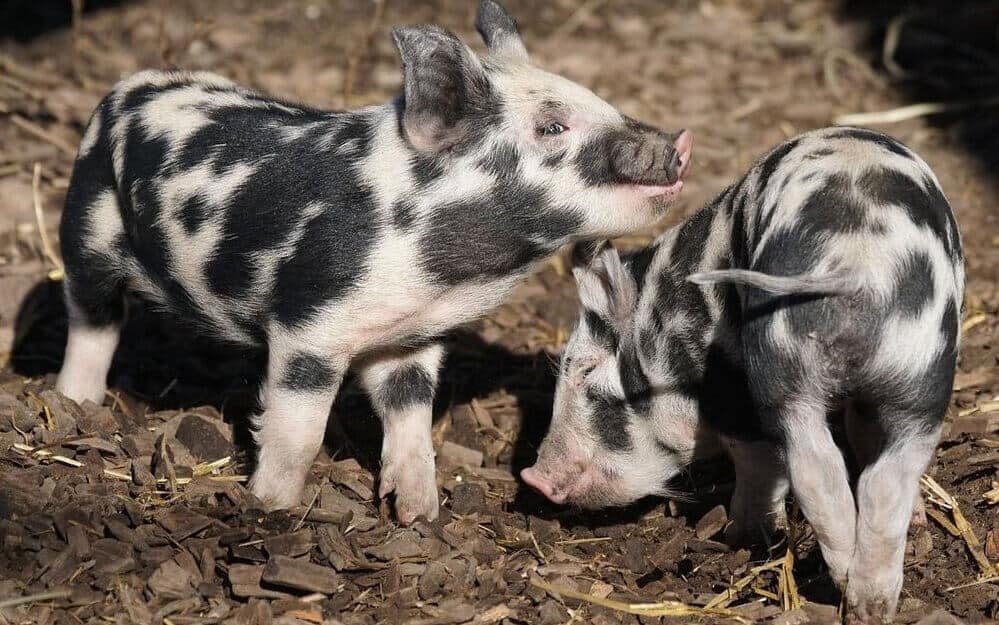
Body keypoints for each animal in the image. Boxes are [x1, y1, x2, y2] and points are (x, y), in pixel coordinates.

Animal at [53, 0, 693, 524]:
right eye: (552, 126)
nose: (679, 143)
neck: (445, 278)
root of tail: (128, 86)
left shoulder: (412, 339)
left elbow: (412, 420)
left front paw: (420, 514)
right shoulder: (309, 328)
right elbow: (298, 433)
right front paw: (269, 509)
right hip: (86, 233)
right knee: (92, 321)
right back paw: (76, 404)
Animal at [522, 127, 963, 623]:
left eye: (586, 371)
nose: (532, 477)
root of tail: (856, 264)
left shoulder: (729, 393)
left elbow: (757, 459)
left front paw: (740, 535)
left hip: (789, 365)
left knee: (815, 469)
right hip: (918, 373)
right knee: (877, 477)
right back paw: (869, 601)